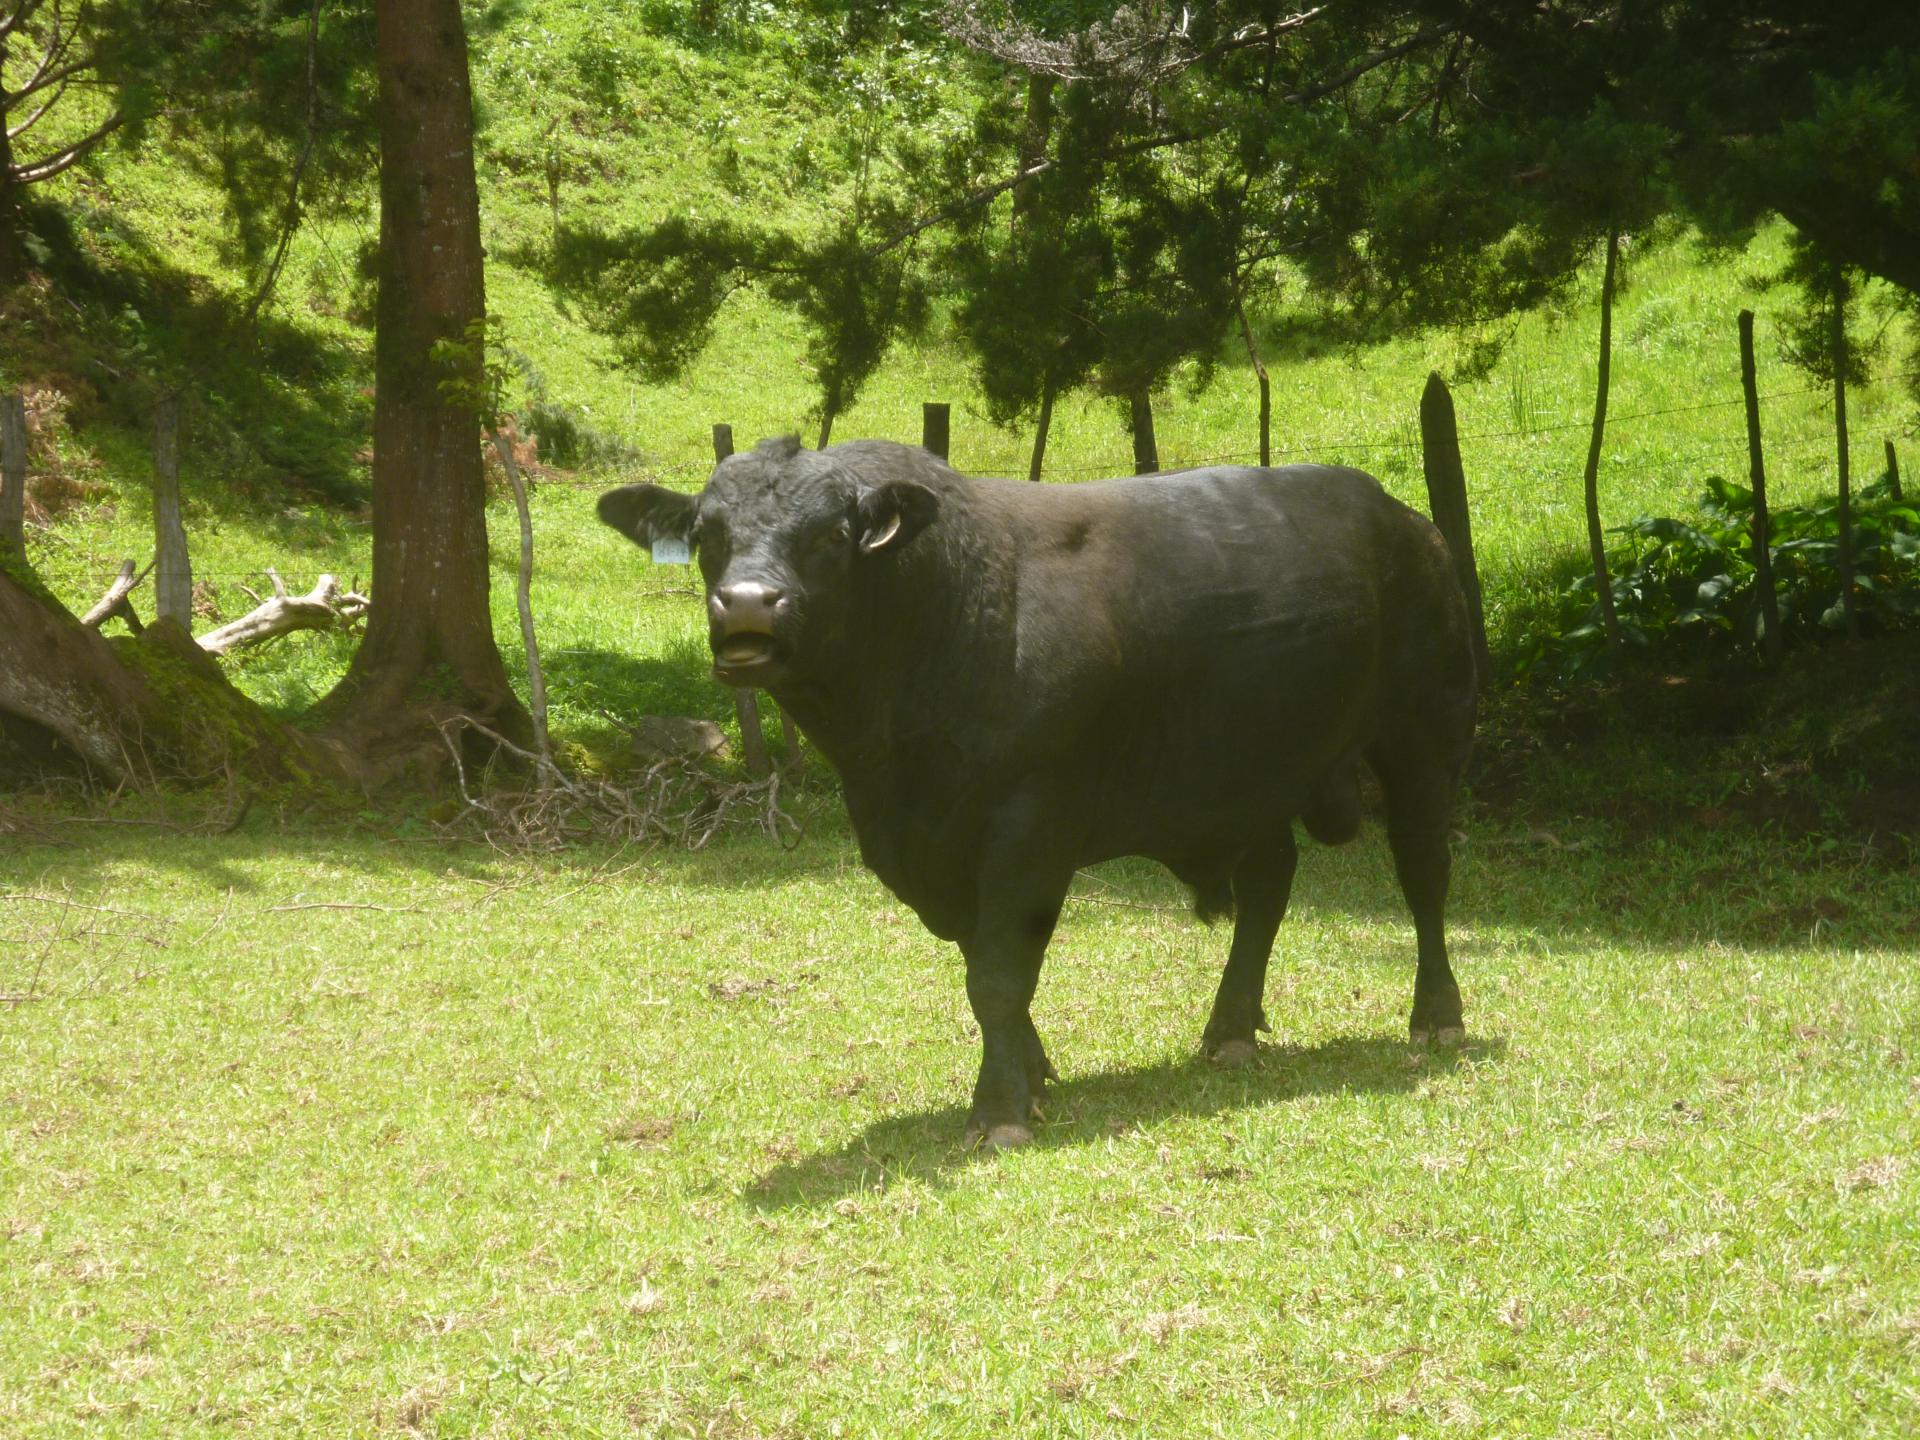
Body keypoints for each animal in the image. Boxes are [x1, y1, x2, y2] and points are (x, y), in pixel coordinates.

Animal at [606, 437, 1474, 1152]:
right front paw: (1032, 1076)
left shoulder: (1028, 829)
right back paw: (1230, 1030)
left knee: (1424, 873)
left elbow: (998, 972)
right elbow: (986, 970)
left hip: (1420, 739)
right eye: (708, 537)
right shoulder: (931, 846)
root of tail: (1406, 520)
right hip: (1251, 771)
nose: (747, 604)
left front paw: (998, 1112)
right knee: (1268, 885)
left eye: (826, 537)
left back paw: (1437, 1018)